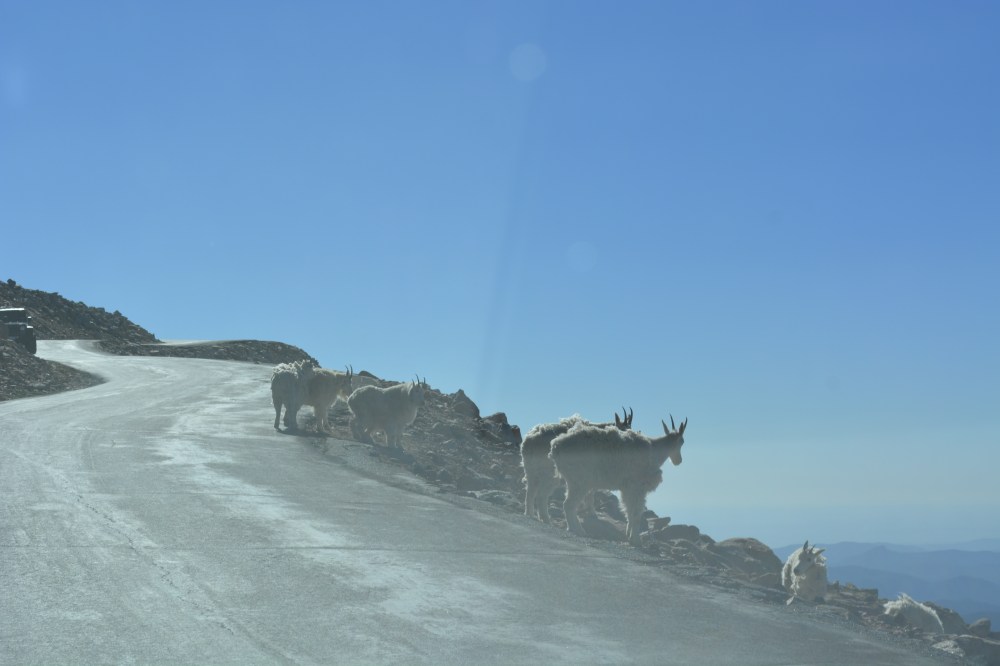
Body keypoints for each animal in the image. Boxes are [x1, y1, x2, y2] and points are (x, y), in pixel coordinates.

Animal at [549, 415, 687, 545]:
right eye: (682, 442)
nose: (678, 461)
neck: (654, 451)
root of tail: (555, 447)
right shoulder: (637, 487)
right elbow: (635, 513)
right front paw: (636, 540)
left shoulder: (627, 489)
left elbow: (629, 512)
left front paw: (629, 535)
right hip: (580, 481)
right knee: (568, 505)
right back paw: (579, 530)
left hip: (573, 481)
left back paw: (573, 528)